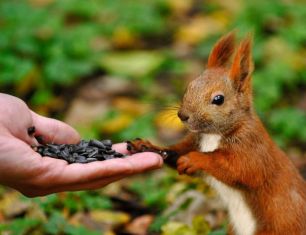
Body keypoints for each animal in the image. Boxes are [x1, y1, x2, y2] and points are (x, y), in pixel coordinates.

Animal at [126, 32, 306, 235]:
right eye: (189, 87)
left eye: (218, 99)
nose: (183, 115)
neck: (212, 135)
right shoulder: (195, 141)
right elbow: (175, 151)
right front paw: (146, 146)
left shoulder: (253, 149)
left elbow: (239, 169)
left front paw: (195, 159)